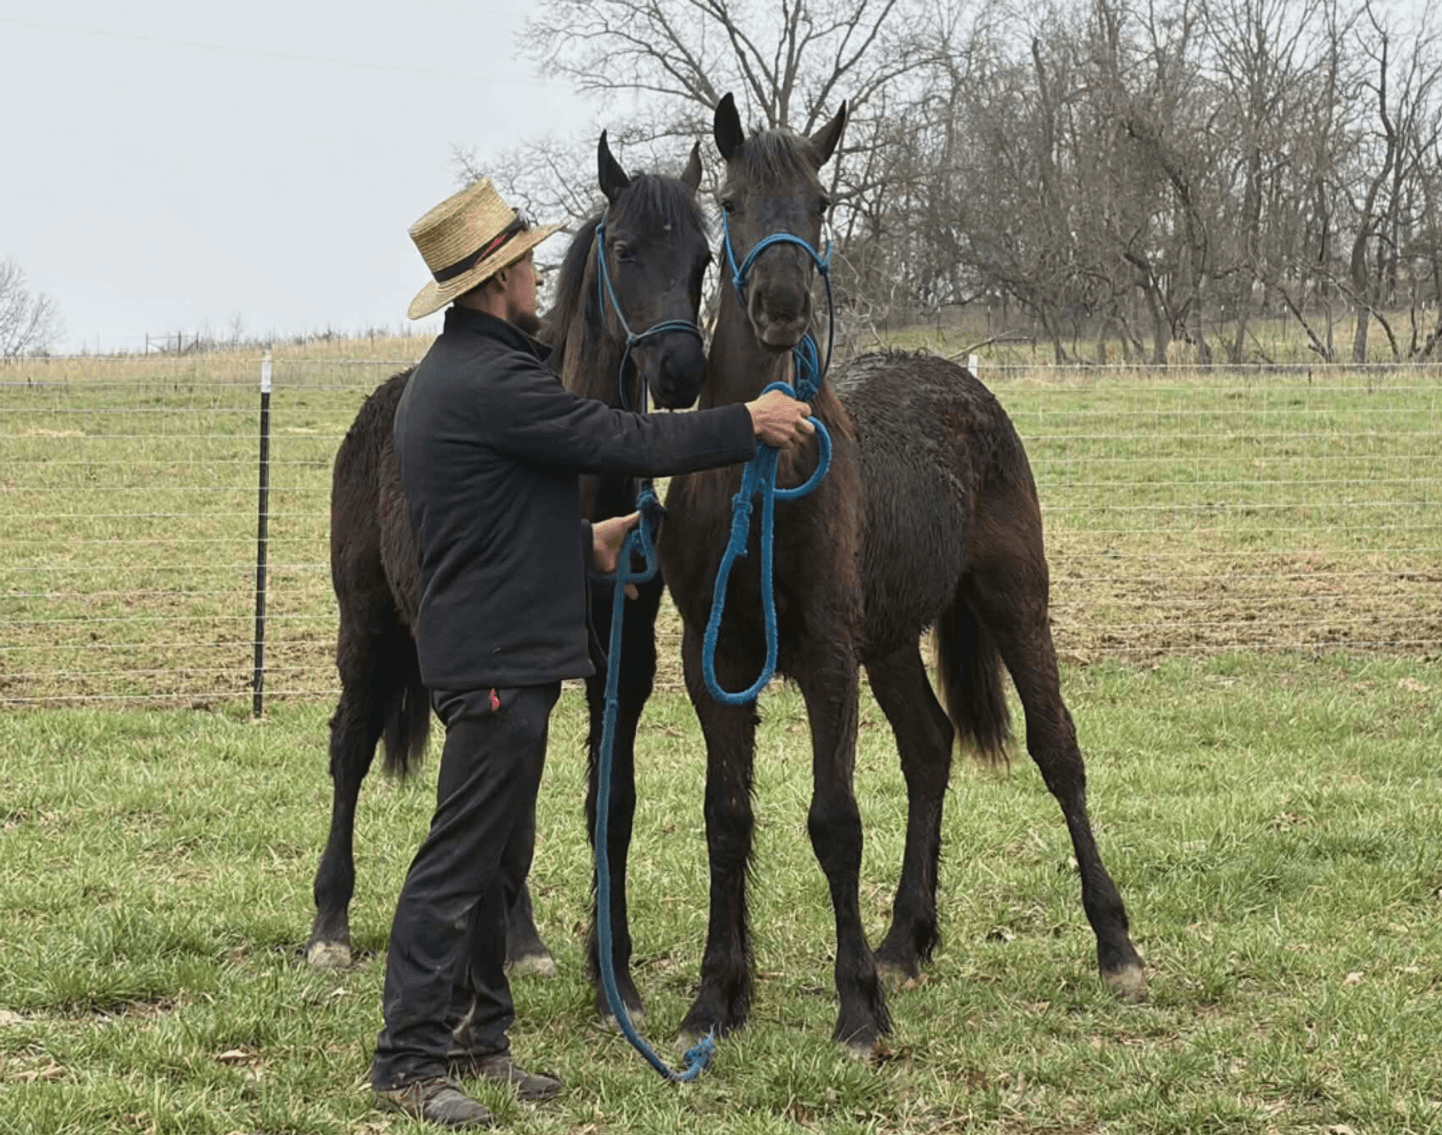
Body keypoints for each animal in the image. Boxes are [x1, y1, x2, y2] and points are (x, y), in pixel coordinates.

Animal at [657, 93, 1147, 1055]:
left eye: (820, 203)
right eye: (730, 202)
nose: (780, 306)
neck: (755, 475)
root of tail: (964, 382)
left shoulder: (825, 656)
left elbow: (834, 821)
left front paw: (856, 1010)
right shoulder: (714, 659)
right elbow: (726, 818)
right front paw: (715, 998)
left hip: (1011, 602)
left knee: (1057, 750)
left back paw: (1115, 945)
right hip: (886, 641)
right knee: (929, 745)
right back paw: (904, 938)